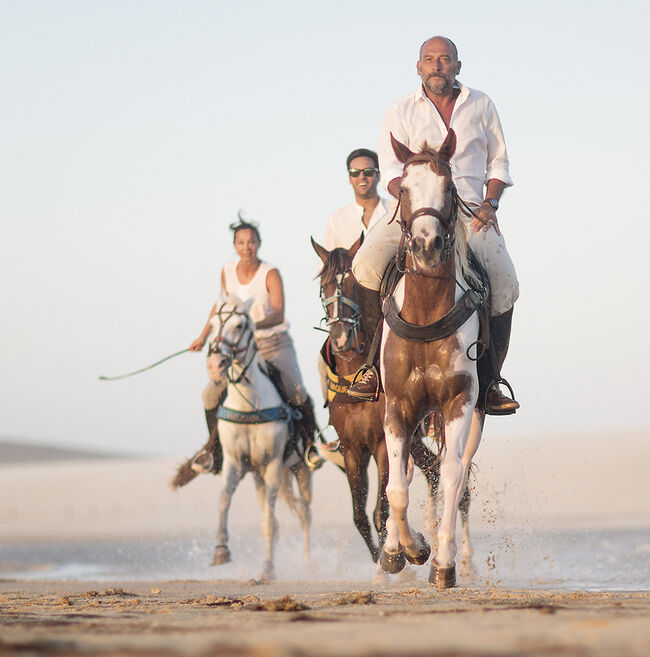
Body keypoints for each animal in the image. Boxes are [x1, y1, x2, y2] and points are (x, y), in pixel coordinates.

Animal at [312, 236, 448, 564]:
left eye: (353, 285)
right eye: (323, 286)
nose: (341, 338)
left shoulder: (382, 446)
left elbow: (379, 512)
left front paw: (394, 557)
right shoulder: (352, 450)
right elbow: (360, 516)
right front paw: (381, 559)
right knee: (434, 469)